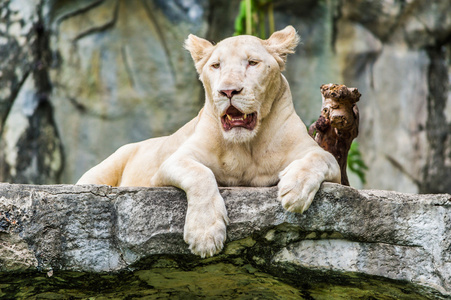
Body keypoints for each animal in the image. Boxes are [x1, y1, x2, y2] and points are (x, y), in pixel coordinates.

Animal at [77, 26, 340, 258]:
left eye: (252, 62)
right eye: (216, 65)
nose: (228, 91)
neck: (247, 146)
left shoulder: (326, 161)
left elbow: (318, 158)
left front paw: (295, 191)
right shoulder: (172, 162)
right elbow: (201, 174)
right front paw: (205, 234)